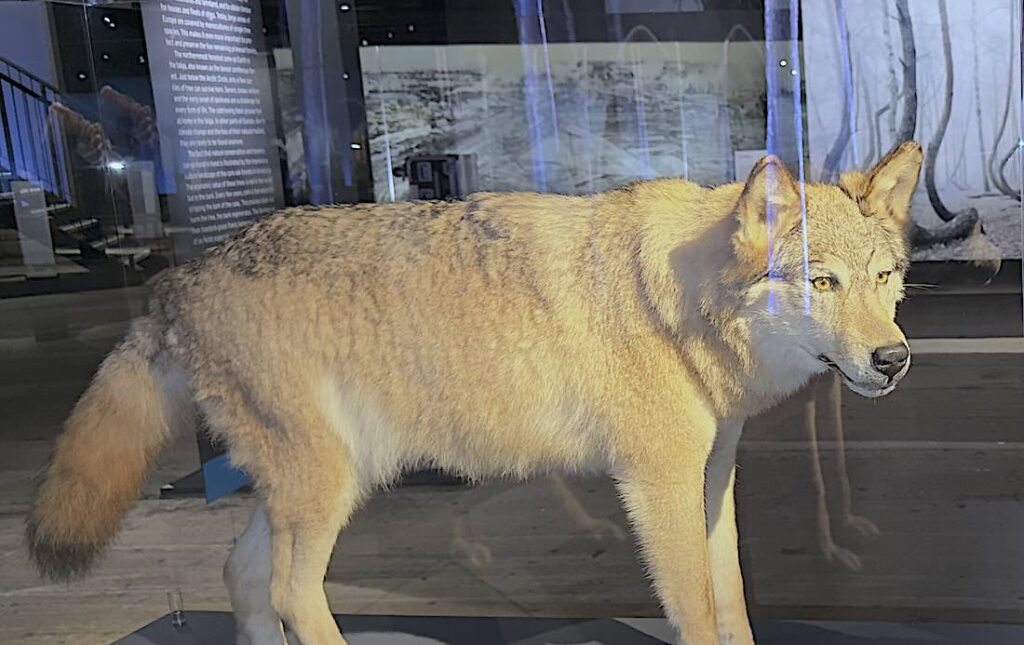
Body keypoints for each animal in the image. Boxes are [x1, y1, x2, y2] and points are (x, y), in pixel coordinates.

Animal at [26, 141, 923, 644]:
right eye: (822, 282)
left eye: (884, 277)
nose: (893, 359)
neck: (680, 301)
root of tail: (175, 279)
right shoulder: (658, 483)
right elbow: (698, 613)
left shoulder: (711, 474)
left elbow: (732, 600)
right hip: (327, 490)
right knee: (287, 591)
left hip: (313, 487)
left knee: (243, 577)